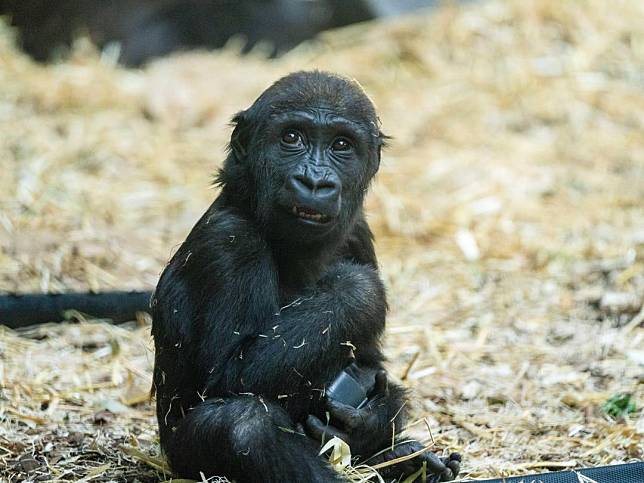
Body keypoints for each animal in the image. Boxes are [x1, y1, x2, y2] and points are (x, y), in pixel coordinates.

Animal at [151, 70, 462, 482]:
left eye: (341, 145)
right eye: (292, 138)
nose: (315, 182)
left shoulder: (358, 232)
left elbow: (370, 363)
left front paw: (373, 419)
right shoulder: (230, 240)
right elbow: (230, 375)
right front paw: (358, 291)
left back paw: (405, 460)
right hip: (182, 463)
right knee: (243, 423)